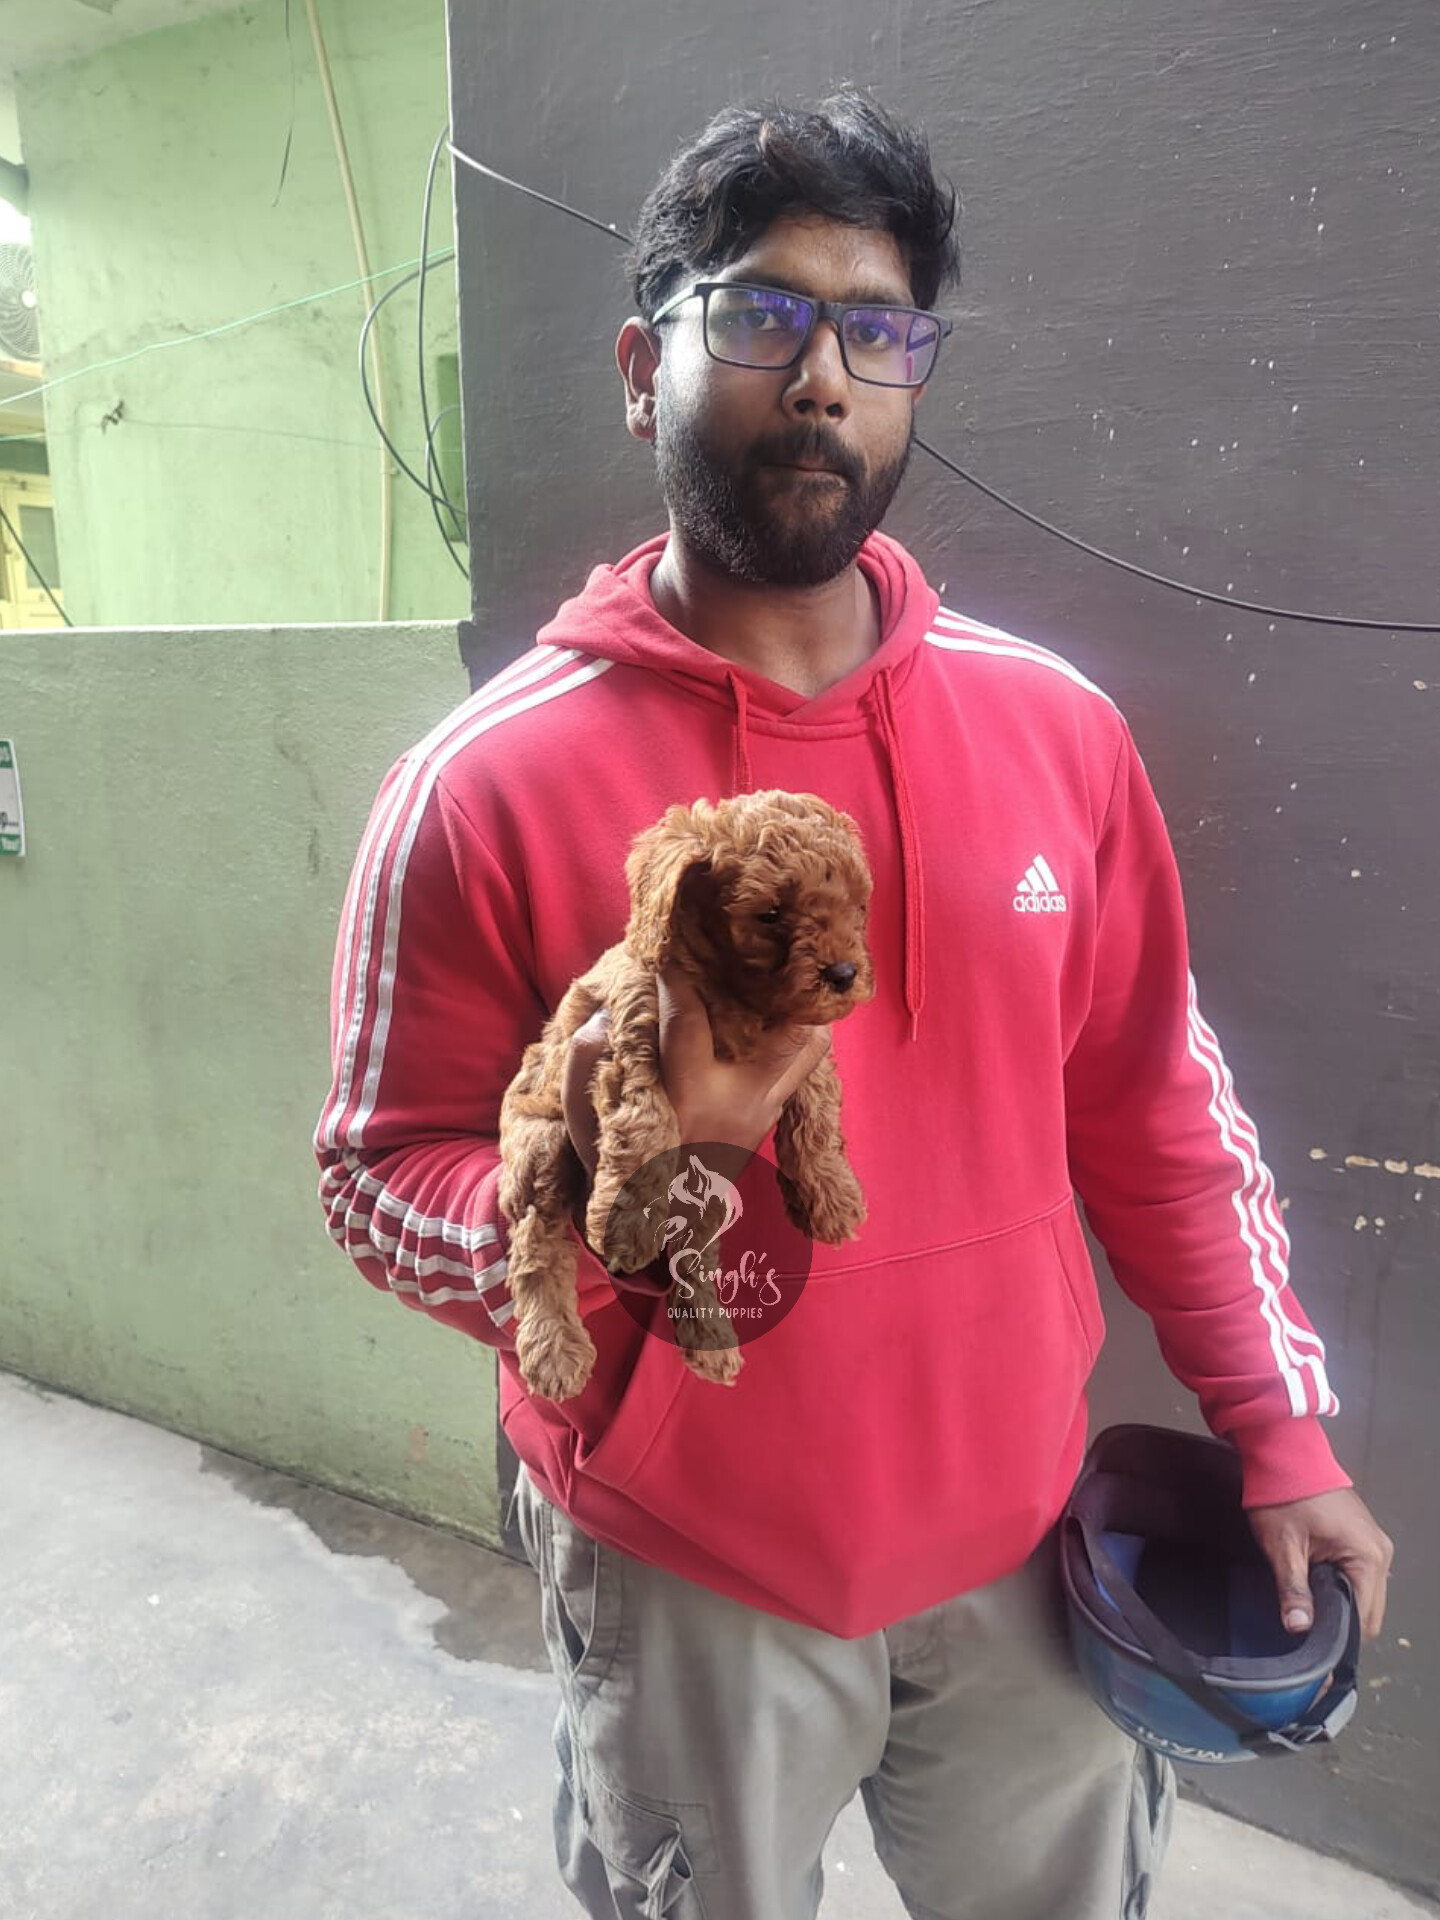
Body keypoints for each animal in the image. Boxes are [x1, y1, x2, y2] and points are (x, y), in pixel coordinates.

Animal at [498, 789, 875, 1402]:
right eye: (770, 915)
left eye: (857, 907)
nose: (843, 973)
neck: (740, 1000)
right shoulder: (632, 1032)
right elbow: (647, 1128)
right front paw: (627, 1226)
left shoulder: (807, 1045)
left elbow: (816, 1113)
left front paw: (831, 1195)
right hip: (541, 1144)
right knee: (538, 1247)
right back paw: (555, 1349)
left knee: (695, 1252)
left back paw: (709, 1337)